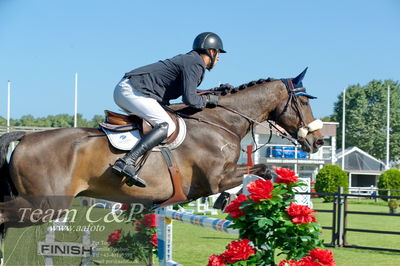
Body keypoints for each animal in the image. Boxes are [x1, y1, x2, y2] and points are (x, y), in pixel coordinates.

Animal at [0, 69, 324, 231]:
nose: (319, 141)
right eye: (303, 102)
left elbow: (257, 172)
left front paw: (228, 201)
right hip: (44, 206)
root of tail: (25, 137)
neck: (221, 121)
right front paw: (229, 199)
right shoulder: (216, 178)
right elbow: (262, 169)